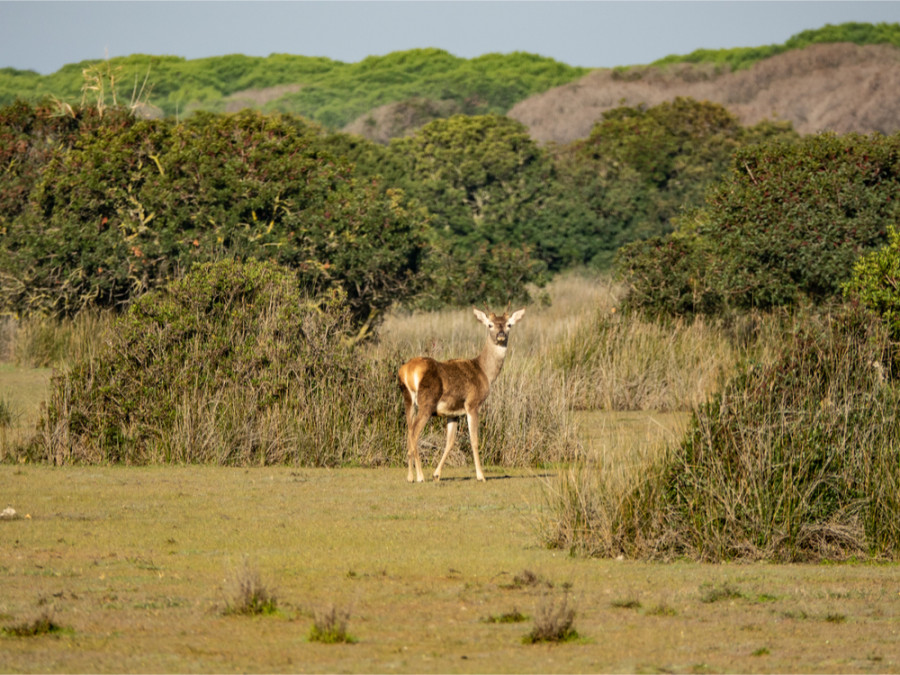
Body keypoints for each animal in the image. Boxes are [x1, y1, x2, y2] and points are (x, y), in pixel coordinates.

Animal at [398, 308, 524, 484]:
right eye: (490, 324)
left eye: (509, 324)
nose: (500, 335)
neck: (484, 372)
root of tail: (407, 371)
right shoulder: (472, 404)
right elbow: (474, 440)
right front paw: (481, 476)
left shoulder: (453, 413)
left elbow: (450, 442)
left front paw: (436, 474)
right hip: (426, 403)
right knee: (415, 432)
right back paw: (420, 476)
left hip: (408, 400)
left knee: (409, 430)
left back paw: (410, 476)